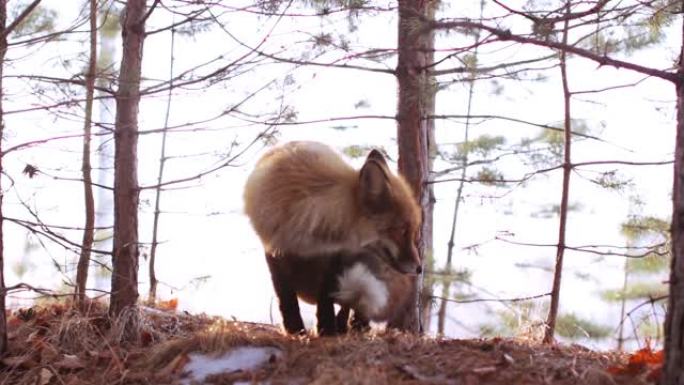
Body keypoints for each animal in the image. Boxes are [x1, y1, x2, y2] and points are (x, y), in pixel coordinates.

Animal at [243, 141, 420, 332]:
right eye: (402, 231)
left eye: (411, 231)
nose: (419, 268)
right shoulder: (274, 249)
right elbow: (286, 296)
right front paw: (295, 328)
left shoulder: (332, 256)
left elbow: (326, 296)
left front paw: (327, 329)